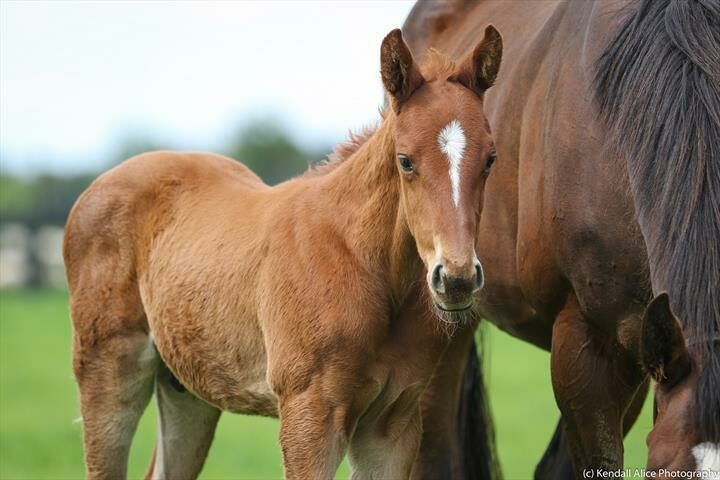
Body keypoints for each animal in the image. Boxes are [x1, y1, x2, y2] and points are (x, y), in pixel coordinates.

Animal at [67, 27, 504, 480]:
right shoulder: (309, 414)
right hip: (107, 369)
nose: (455, 278)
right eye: (405, 161)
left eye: (490, 158)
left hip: (185, 387)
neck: (362, 262)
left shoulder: (393, 423)